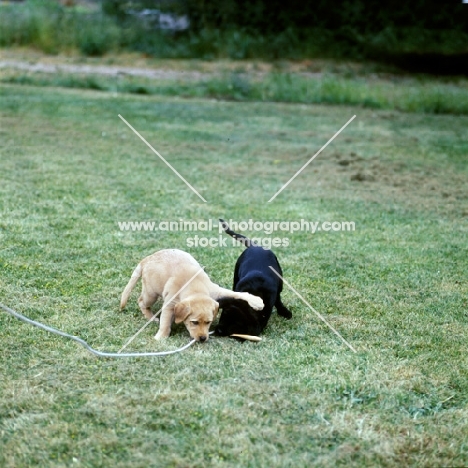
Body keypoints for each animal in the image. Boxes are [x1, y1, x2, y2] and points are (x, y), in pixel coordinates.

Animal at [119, 249, 264, 344]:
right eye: (194, 322)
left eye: (208, 322)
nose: (203, 339)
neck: (195, 287)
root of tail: (147, 259)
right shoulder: (170, 305)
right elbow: (165, 323)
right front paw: (160, 337)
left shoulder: (216, 291)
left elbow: (237, 293)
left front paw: (256, 301)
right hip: (151, 293)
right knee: (141, 302)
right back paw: (151, 317)